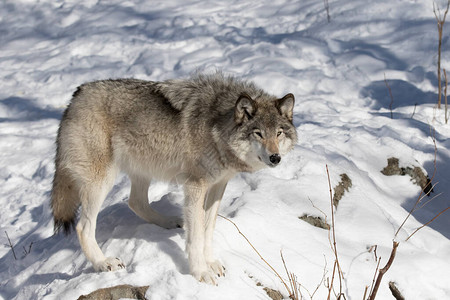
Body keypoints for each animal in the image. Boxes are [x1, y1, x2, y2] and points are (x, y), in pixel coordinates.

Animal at [51, 72, 298, 284]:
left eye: (279, 133)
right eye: (258, 133)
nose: (275, 157)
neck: (218, 128)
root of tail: (77, 93)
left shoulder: (218, 185)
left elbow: (207, 229)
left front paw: (211, 263)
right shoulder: (195, 186)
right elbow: (196, 235)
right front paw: (200, 273)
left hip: (143, 169)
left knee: (135, 202)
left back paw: (169, 222)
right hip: (102, 180)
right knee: (84, 227)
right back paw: (103, 262)